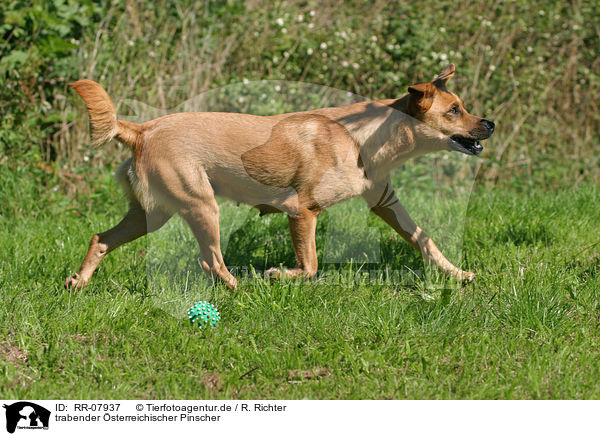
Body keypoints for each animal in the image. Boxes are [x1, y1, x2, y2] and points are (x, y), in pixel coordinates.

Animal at [65, 63, 494, 290]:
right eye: (454, 110)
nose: (489, 124)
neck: (364, 136)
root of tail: (141, 129)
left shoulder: (386, 202)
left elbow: (426, 241)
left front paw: (459, 274)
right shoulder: (302, 210)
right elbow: (312, 265)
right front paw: (279, 275)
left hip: (152, 214)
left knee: (101, 239)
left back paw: (78, 282)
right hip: (200, 205)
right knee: (211, 261)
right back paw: (241, 292)